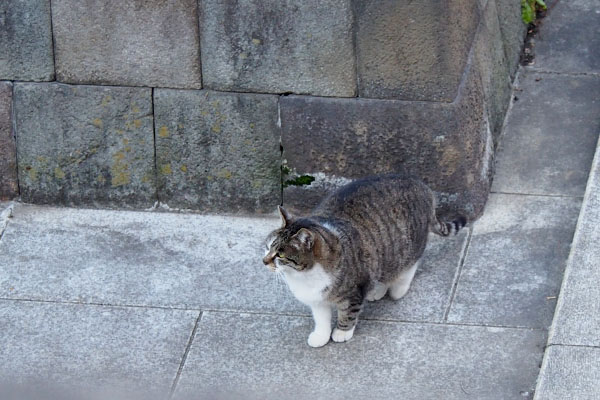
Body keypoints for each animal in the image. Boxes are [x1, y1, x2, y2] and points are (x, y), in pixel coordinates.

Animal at [262, 174, 464, 346]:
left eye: (280, 254)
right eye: (268, 246)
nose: (264, 261)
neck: (304, 276)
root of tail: (423, 186)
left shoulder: (355, 289)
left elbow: (348, 313)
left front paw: (342, 332)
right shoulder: (317, 299)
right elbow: (321, 319)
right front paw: (321, 336)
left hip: (409, 245)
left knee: (410, 264)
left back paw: (398, 289)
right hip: (384, 253)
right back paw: (378, 290)